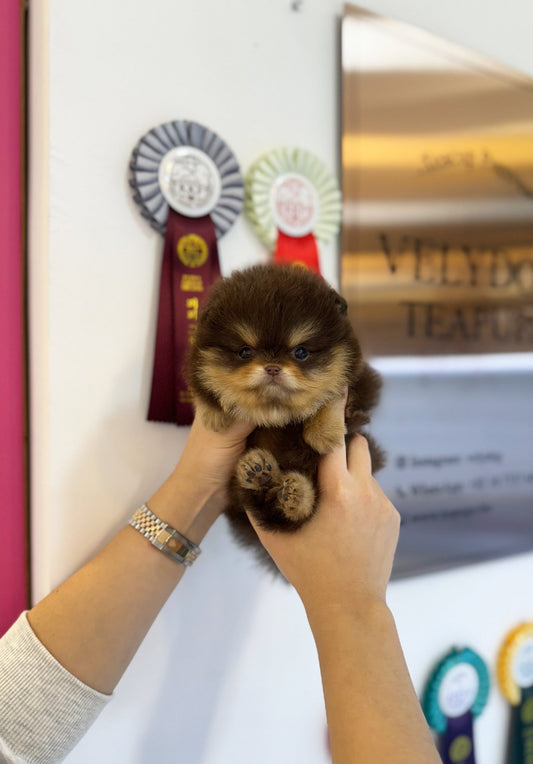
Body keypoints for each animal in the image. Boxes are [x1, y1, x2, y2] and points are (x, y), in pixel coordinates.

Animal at [187, 266, 382, 572]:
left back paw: (295, 493)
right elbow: (201, 386)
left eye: (300, 352)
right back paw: (258, 470)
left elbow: (333, 395)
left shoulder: (361, 384)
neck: (276, 413)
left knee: (291, 514)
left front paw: (323, 433)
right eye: (244, 352)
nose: (272, 368)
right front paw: (214, 414)